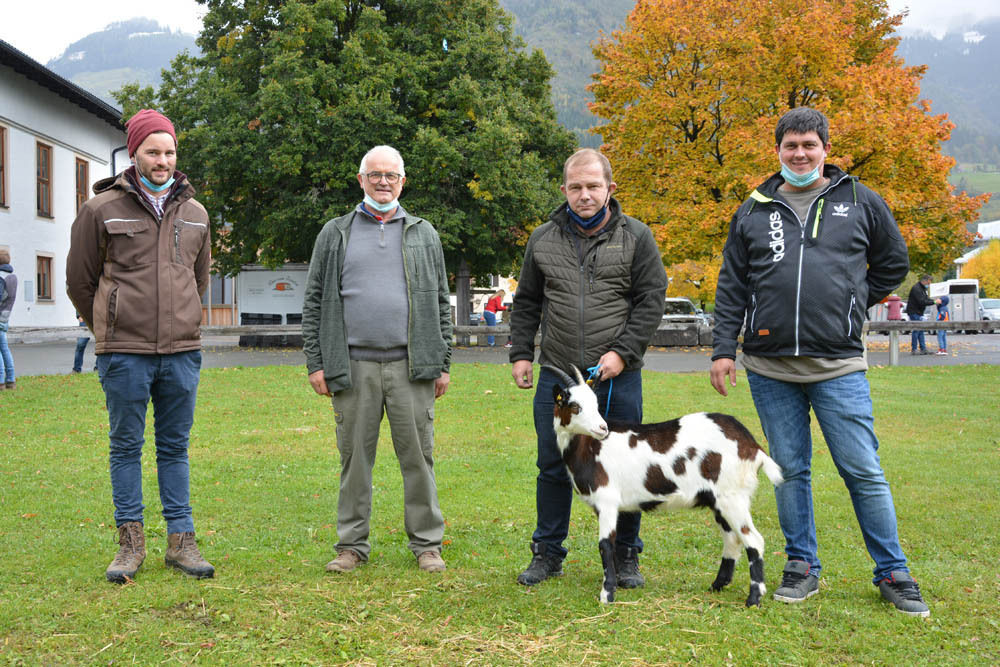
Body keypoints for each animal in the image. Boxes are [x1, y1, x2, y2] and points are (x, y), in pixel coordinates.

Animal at [544, 366, 784, 604]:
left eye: (596, 404)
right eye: (575, 406)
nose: (603, 428)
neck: (589, 449)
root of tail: (750, 444)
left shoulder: (607, 500)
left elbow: (605, 545)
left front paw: (607, 594)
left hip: (732, 497)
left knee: (753, 540)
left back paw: (754, 598)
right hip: (719, 500)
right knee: (732, 539)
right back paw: (717, 586)